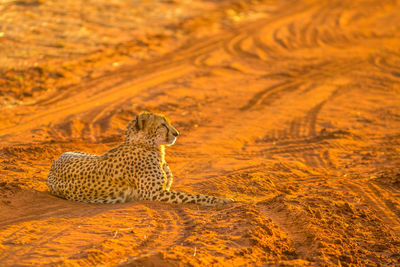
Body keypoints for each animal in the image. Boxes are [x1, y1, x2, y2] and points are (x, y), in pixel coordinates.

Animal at [47, 111, 233, 207]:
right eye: (162, 125)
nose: (177, 133)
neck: (148, 146)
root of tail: (54, 163)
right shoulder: (154, 194)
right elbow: (194, 196)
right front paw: (220, 200)